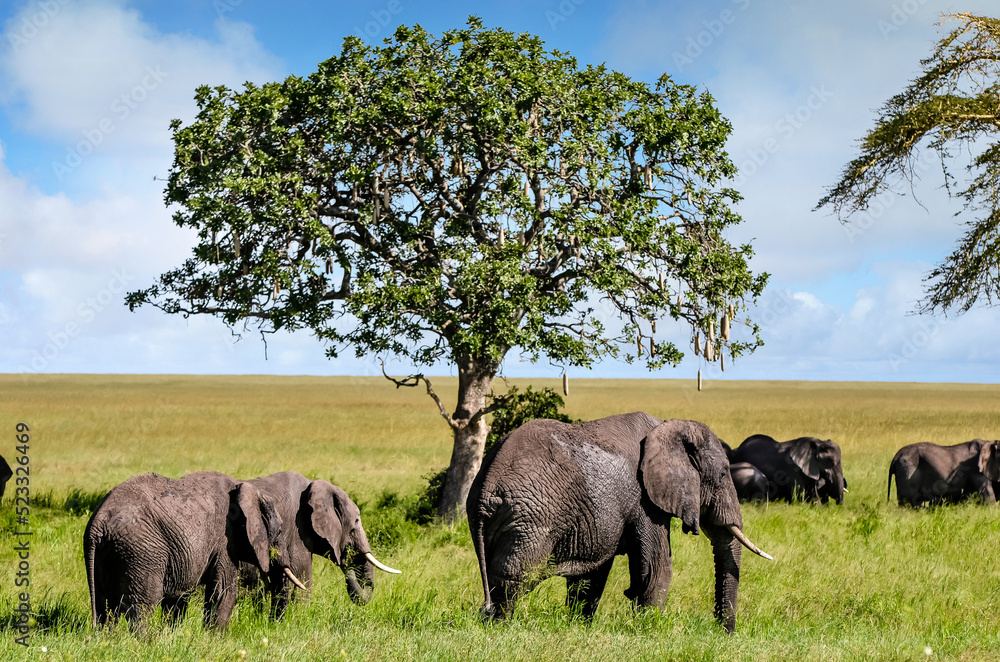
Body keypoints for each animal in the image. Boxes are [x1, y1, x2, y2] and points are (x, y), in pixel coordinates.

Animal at [84, 471, 305, 630]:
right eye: (278, 531)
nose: (272, 625)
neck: (247, 488)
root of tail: (98, 523)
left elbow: (179, 597)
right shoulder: (224, 540)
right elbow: (223, 593)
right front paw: (215, 641)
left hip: (108, 553)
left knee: (104, 607)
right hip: (142, 553)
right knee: (142, 607)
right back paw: (145, 644)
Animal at [467, 413, 772, 633]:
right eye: (722, 475)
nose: (725, 634)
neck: (668, 426)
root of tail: (486, 488)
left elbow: (592, 573)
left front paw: (580, 627)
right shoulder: (644, 500)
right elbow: (657, 565)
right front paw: (648, 631)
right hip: (530, 518)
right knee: (514, 576)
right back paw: (500, 628)